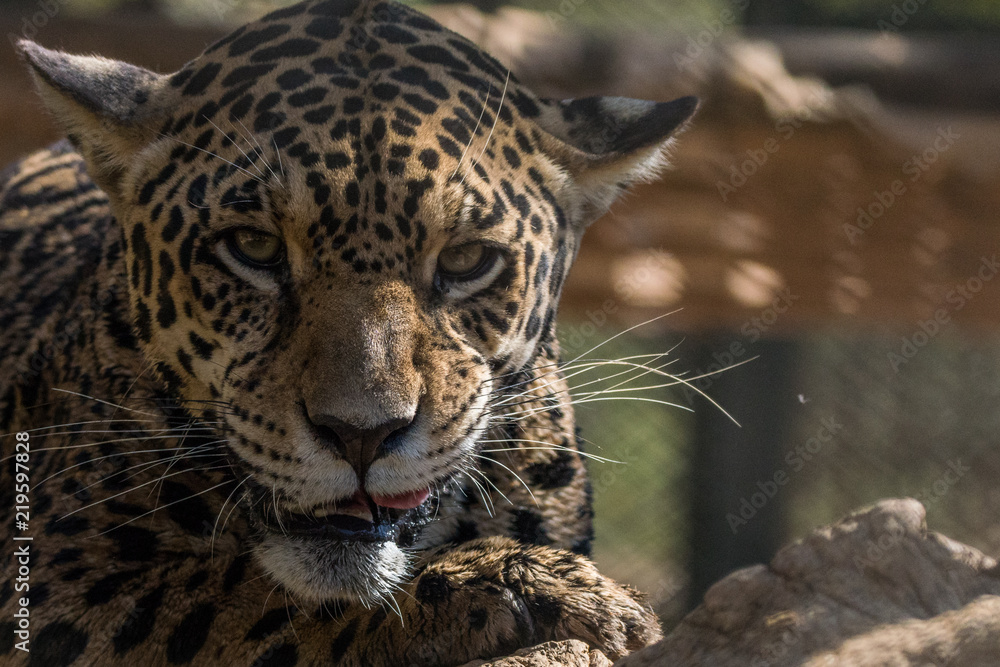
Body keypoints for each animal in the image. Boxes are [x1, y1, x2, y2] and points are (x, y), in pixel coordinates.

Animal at [0, 0, 696, 664]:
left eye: (467, 260)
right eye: (253, 247)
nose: (362, 435)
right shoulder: (51, 574)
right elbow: (242, 597)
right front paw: (513, 583)